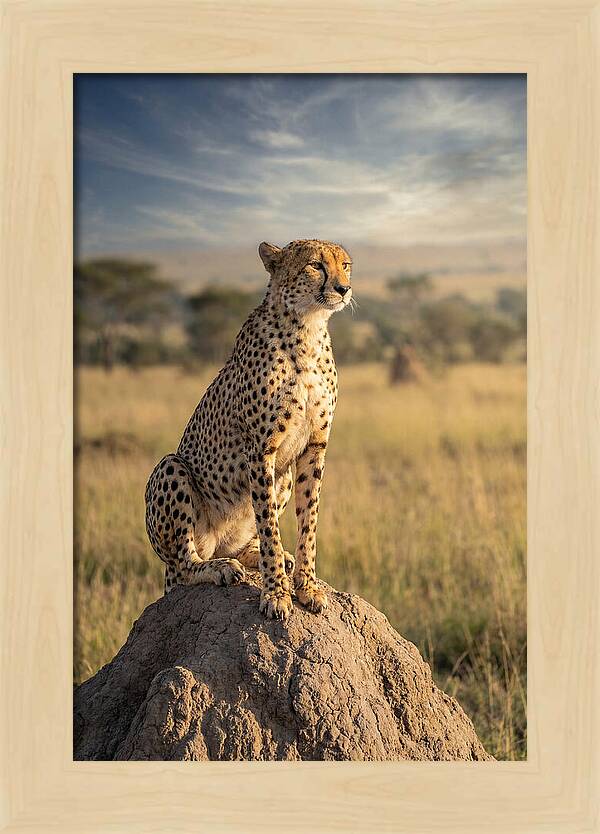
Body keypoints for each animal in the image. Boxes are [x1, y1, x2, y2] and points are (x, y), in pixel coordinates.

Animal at [144, 239, 353, 620]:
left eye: (345, 265)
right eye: (316, 265)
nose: (344, 289)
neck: (308, 328)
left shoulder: (314, 447)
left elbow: (308, 522)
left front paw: (307, 586)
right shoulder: (261, 450)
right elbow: (269, 524)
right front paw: (276, 594)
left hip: (283, 476)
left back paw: (259, 557)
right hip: (170, 469)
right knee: (184, 564)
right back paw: (219, 568)